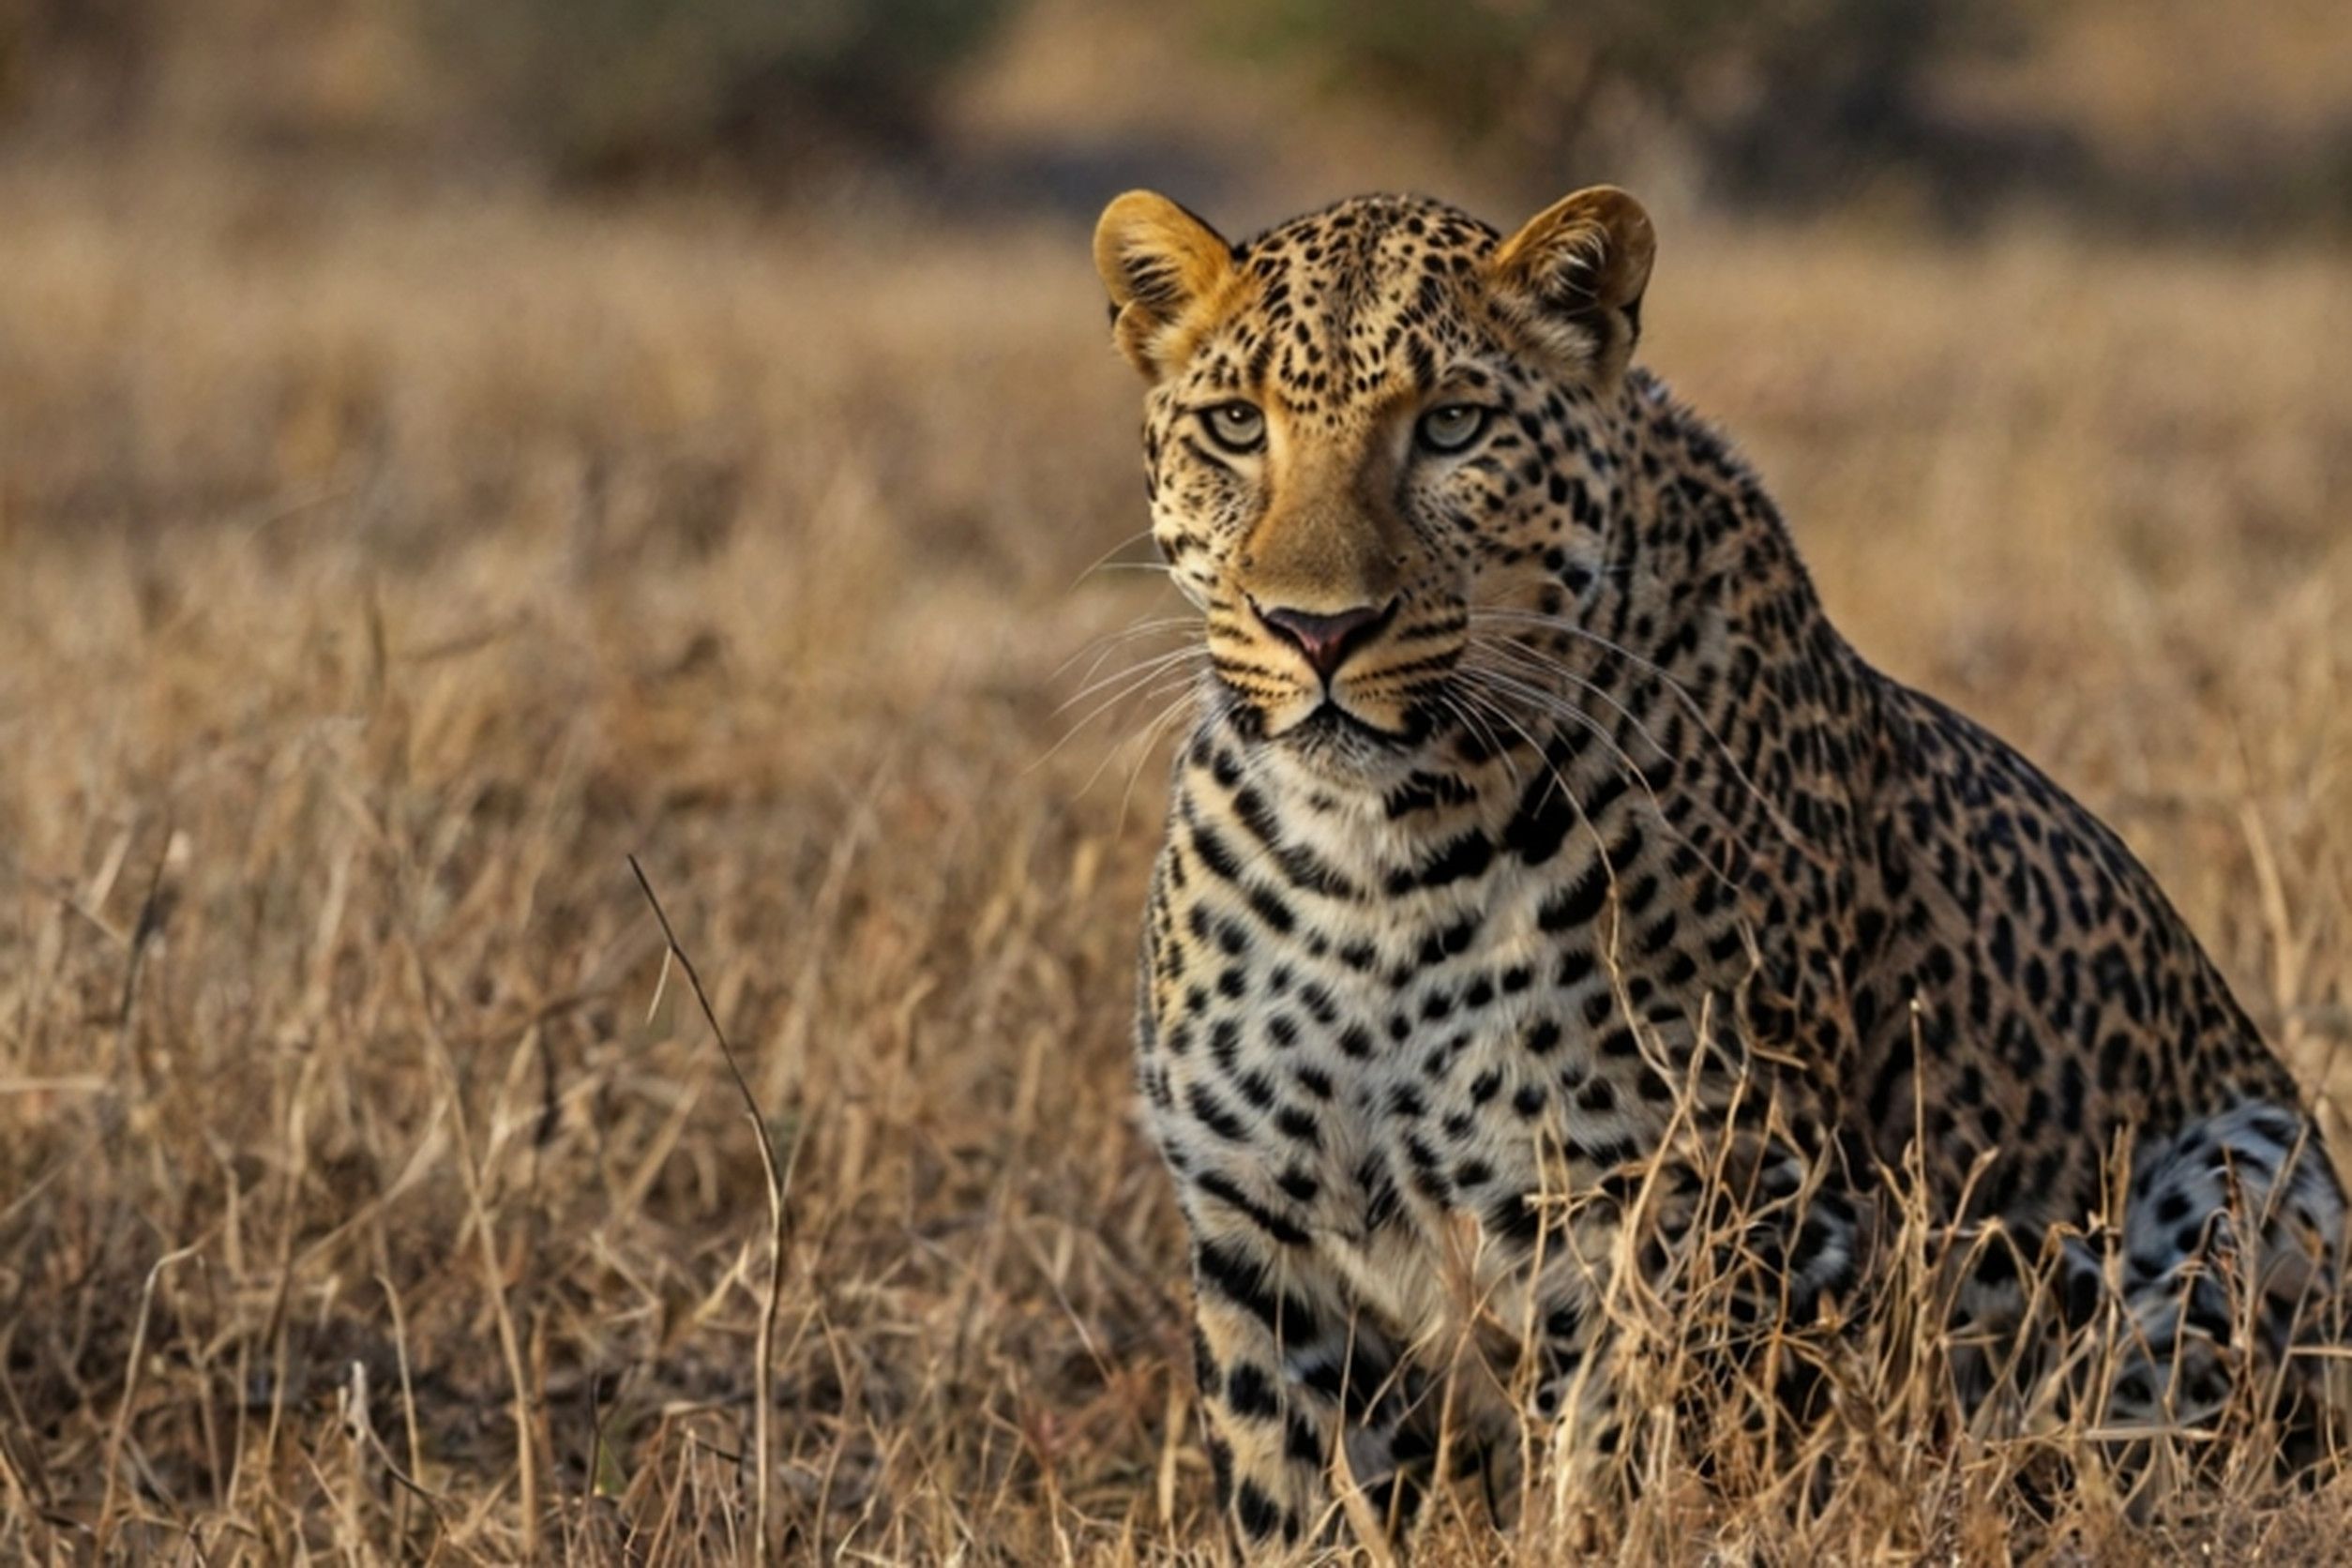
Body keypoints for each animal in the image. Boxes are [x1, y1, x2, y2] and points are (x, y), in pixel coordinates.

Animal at [1091, 184, 2347, 1554]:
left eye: (1453, 426)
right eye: (1235, 426)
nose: (1317, 629)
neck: (1369, 856)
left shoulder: (1686, 1213)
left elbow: (1623, 1488)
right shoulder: (1265, 1234)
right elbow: (1303, 1501)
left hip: (2250, 1169)